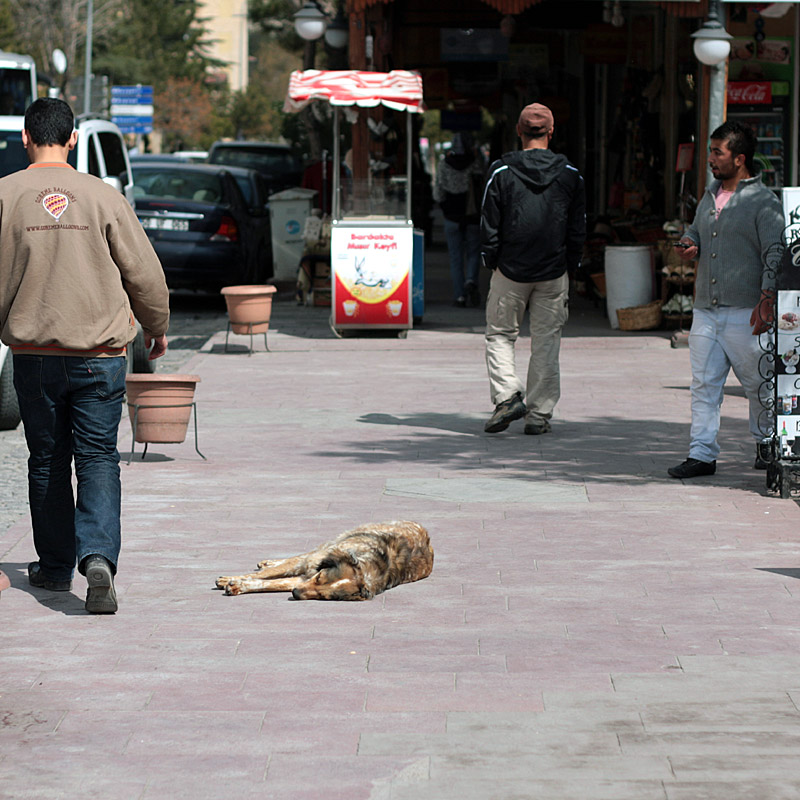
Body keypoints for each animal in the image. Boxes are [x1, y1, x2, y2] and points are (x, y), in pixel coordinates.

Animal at [216, 520, 434, 600]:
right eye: (320, 577)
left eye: (324, 596)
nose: (295, 593)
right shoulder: (312, 563)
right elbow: (265, 576)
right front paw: (230, 580)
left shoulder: (302, 579)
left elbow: (270, 583)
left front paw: (238, 585)